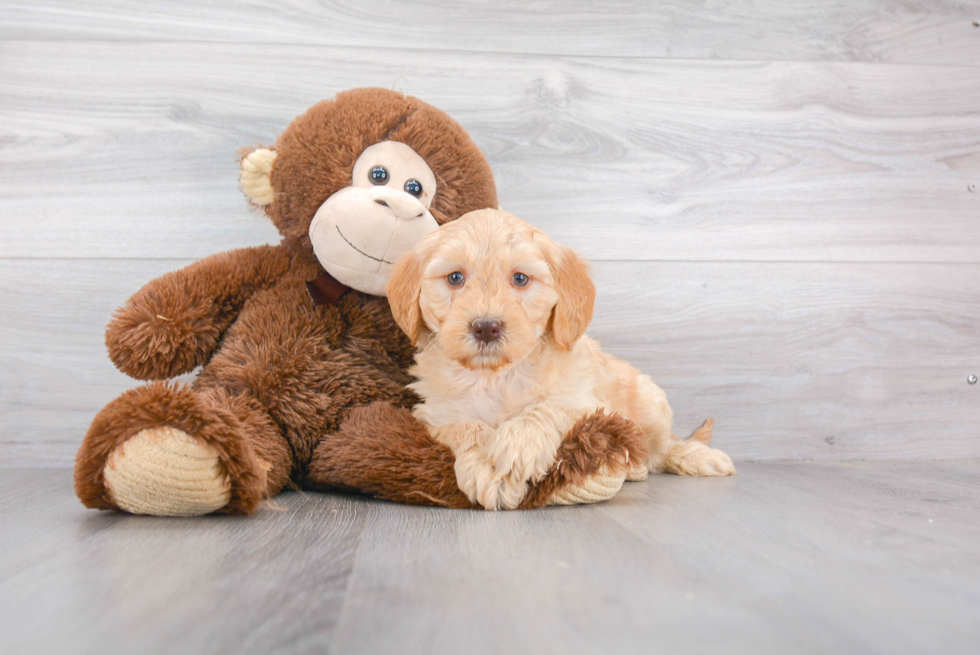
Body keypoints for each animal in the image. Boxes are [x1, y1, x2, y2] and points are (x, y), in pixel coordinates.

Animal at [386, 210, 732, 512]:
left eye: (520, 279)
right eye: (455, 277)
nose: (486, 327)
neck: (496, 375)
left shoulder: (584, 402)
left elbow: (548, 408)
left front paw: (517, 447)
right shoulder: (435, 414)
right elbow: (465, 426)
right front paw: (486, 466)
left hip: (652, 404)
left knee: (661, 449)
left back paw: (692, 457)